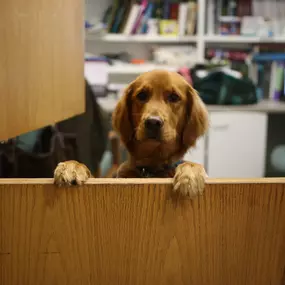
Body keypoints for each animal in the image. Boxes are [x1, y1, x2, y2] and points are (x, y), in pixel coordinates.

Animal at [53, 70, 209, 196]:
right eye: (142, 95)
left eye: (174, 97)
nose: (153, 122)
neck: (150, 168)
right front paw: (72, 167)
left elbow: (190, 165)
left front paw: (189, 176)